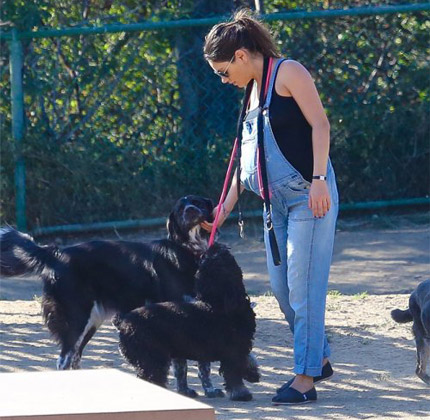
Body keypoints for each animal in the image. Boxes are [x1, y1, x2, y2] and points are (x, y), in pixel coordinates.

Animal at [0, 195, 224, 397]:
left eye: (197, 202)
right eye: (180, 208)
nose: (190, 210)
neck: (190, 252)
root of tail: (57, 253)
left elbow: (203, 365)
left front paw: (209, 390)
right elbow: (181, 363)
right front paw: (185, 391)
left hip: (92, 321)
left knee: (74, 357)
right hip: (77, 319)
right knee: (63, 360)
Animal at [114, 243, 260, 401]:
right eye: (215, 257)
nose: (216, 245)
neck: (220, 303)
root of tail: (124, 323)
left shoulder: (239, 347)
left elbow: (248, 359)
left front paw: (253, 374)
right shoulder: (233, 351)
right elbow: (234, 376)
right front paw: (242, 394)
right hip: (153, 359)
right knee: (152, 378)